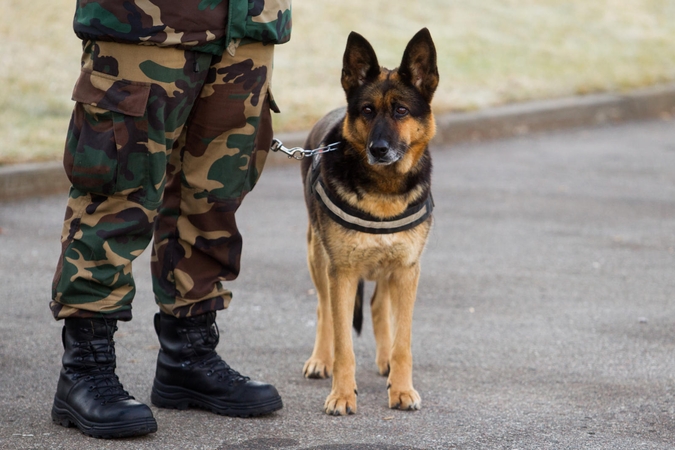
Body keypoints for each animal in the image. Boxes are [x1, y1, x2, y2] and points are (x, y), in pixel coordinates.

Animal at [300, 29, 438, 414]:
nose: (378, 149)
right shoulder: (342, 272)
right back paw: (320, 359)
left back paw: (386, 361)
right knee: (324, 309)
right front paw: (342, 395)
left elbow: (403, 341)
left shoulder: (407, 270)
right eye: (367, 110)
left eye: (401, 110)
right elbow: (343, 342)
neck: (383, 192)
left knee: (378, 307)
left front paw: (402, 389)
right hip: (317, 257)